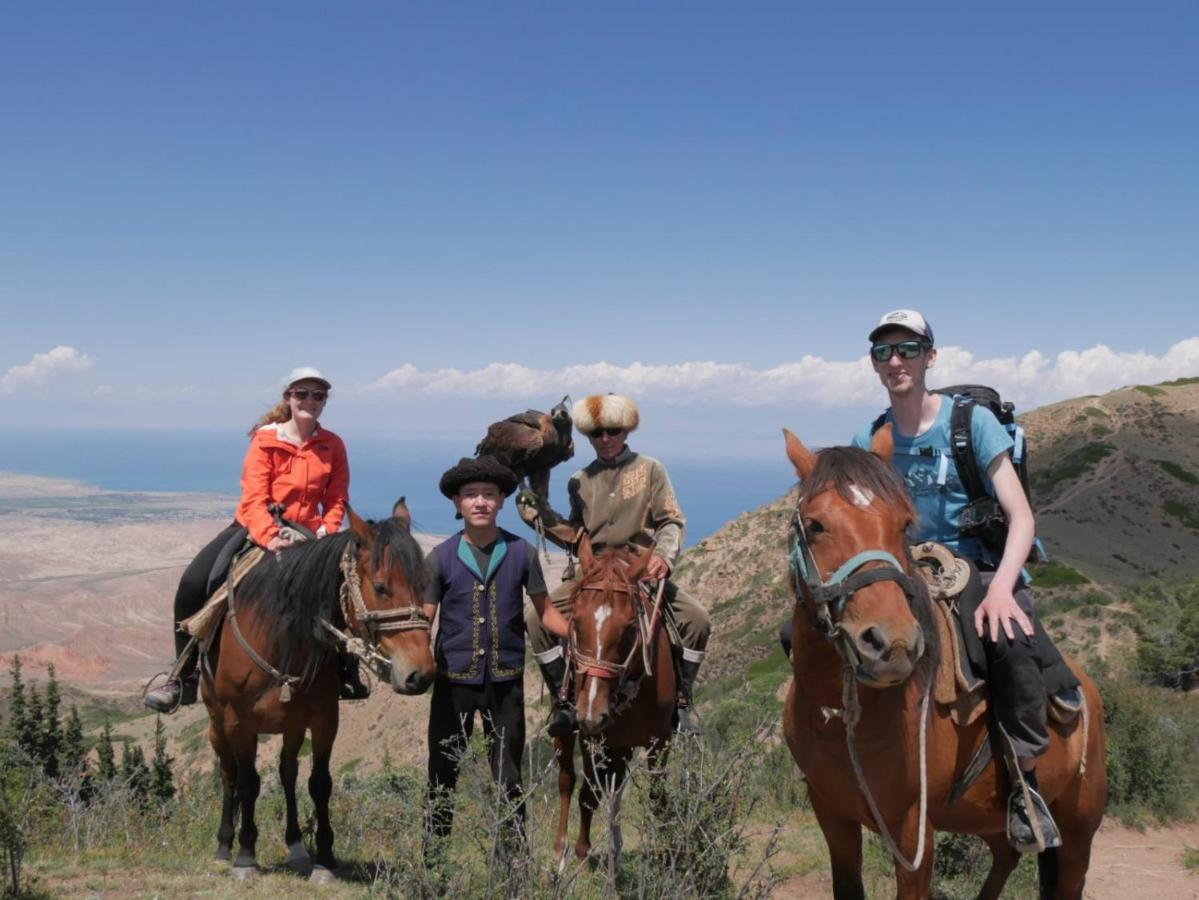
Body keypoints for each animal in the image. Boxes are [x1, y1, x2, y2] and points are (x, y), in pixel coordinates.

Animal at [201, 510, 436, 882]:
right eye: (381, 587)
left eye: (423, 583)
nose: (420, 674)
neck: (281, 640)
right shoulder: (239, 722)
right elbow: (248, 782)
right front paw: (246, 855)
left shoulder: (325, 719)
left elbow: (319, 783)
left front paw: (324, 859)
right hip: (217, 722)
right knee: (229, 774)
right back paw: (225, 846)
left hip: (292, 727)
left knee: (287, 773)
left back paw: (297, 847)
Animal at [551, 534, 676, 872]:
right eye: (576, 621)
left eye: (630, 627)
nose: (592, 713)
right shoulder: (591, 737)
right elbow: (588, 792)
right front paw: (582, 852)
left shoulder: (660, 740)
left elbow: (658, 796)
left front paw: (667, 854)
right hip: (572, 735)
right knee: (567, 781)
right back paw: (560, 854)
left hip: (622, 744)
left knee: (616, 784)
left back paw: (615, 848)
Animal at [781, 429, 1107, 900]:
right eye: (816, 524)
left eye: (903, 524)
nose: (892, 643)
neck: (839, 718)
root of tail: (1088, 689)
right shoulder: (831, 815)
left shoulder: (913, 832)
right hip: (990, 821)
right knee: (1005, 857)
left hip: (1079, 831)